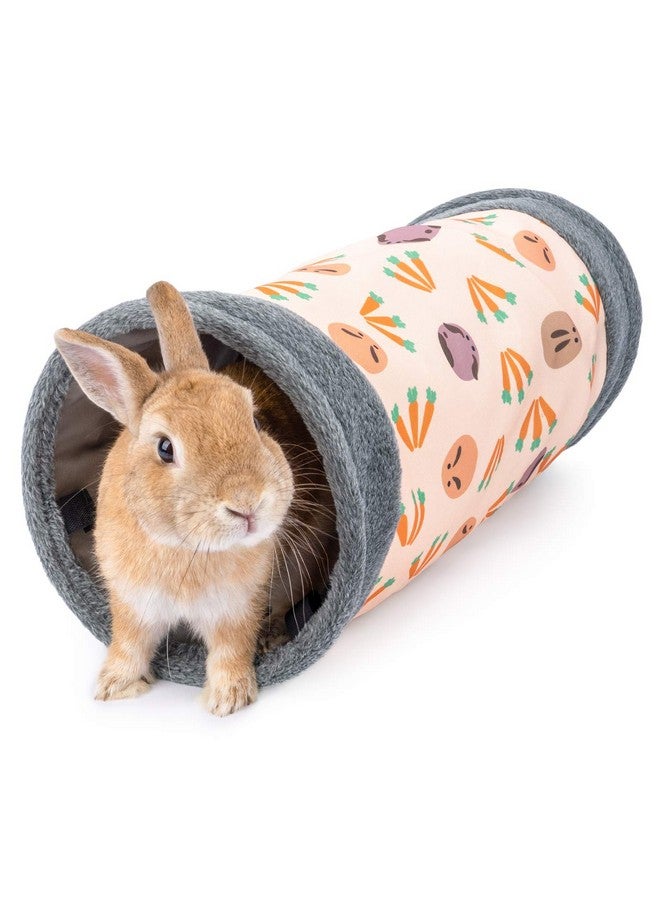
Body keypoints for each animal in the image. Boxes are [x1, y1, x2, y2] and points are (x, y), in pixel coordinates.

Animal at [54, 281, 337, 716]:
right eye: (165, 448)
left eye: (256, 421)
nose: (247, 502)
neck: (185, 547)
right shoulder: (132, 603)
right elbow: (129, 644)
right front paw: (113, 688)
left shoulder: (237, 606)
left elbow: (231, 649)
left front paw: (228, 699)